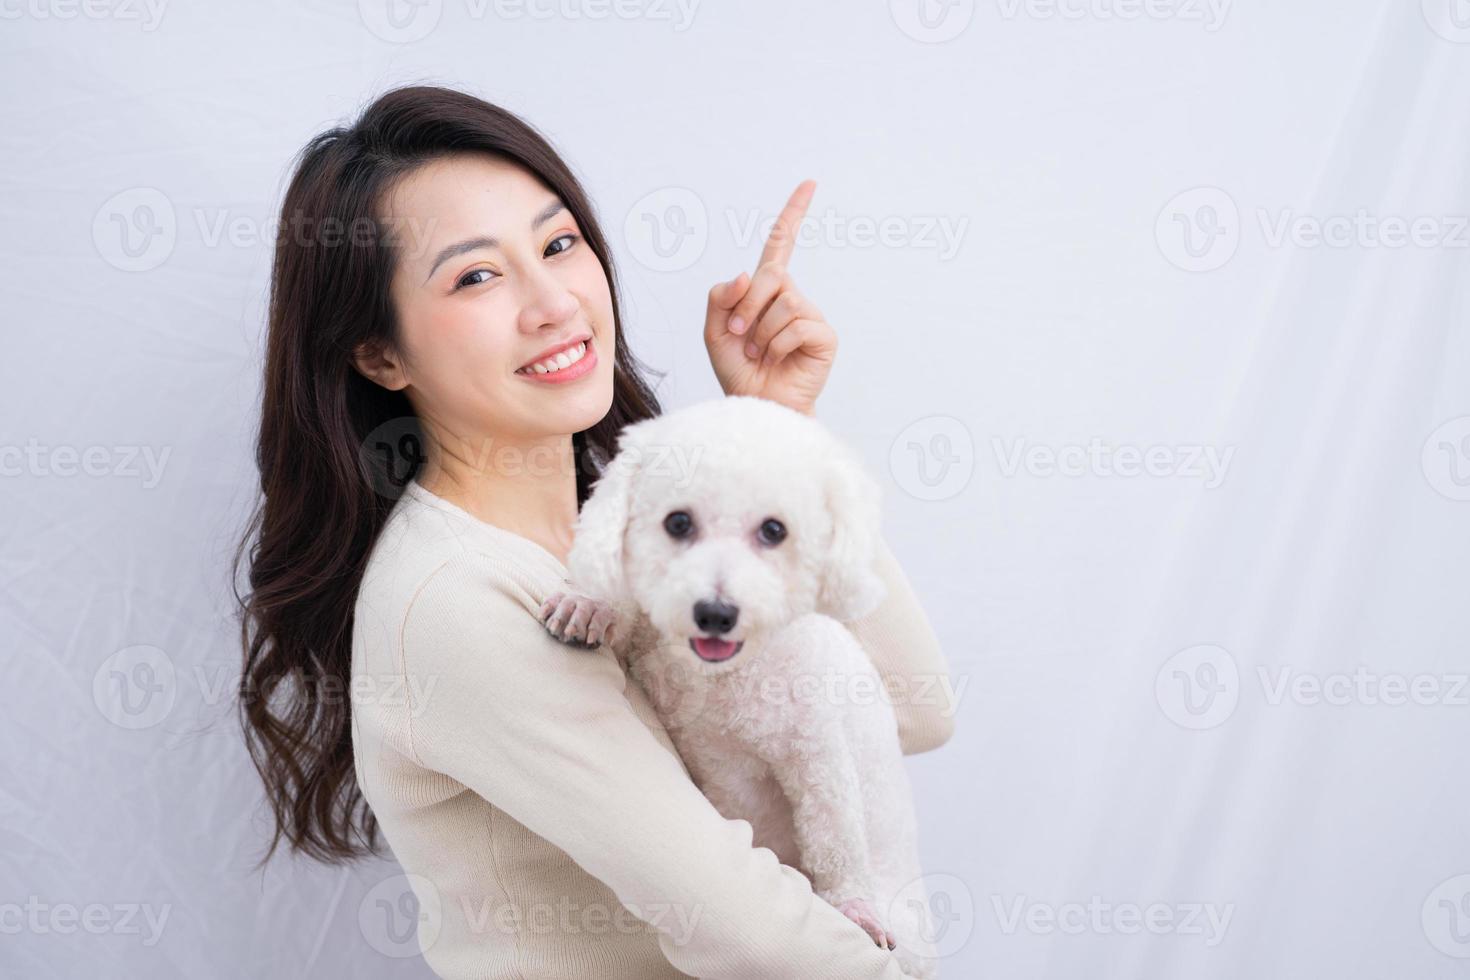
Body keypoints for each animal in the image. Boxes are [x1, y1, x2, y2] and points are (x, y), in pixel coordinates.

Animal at [543, 393, 940, 975]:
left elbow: (835, 834)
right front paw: (589, 604)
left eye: (774, 531)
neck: (724, 678)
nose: (715, 613)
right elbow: (629, 607)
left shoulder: (818, 752)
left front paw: (855, 907)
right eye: (678, 522)